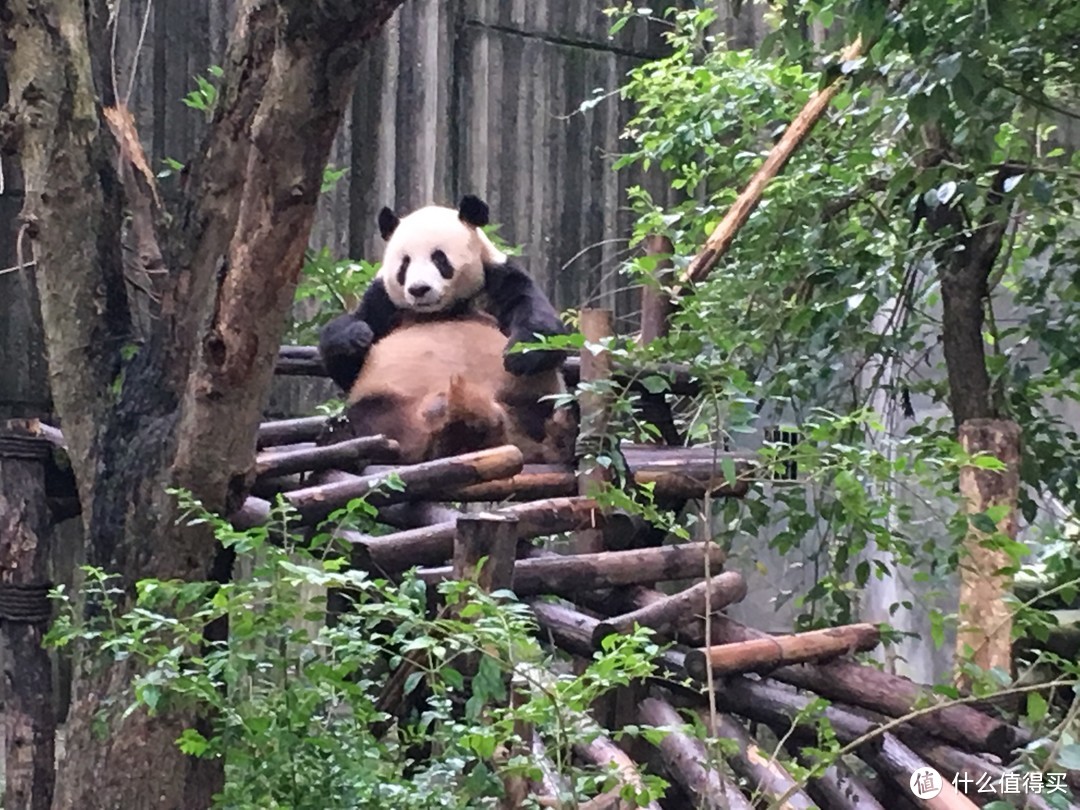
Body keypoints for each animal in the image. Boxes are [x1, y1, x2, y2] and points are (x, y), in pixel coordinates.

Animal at [317, 198, 565, 397]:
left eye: (439, 259)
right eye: (404, 264)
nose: (419, 289)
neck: (438, 310)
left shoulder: (497, 278)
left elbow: (537, 315)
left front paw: (521, 354)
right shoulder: (384, 300)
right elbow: (349, 366)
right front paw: (355, 337)